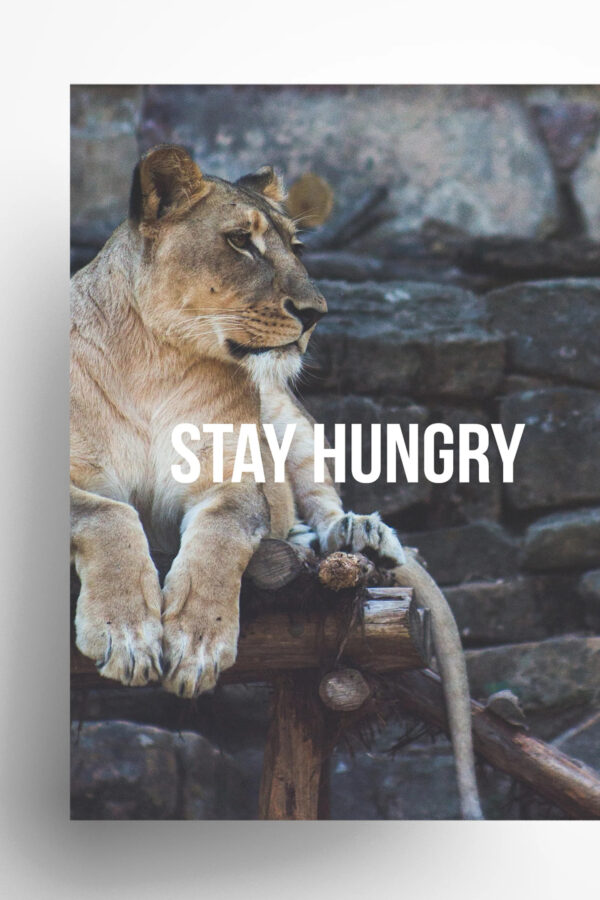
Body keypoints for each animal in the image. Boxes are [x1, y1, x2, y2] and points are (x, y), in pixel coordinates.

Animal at [70, 144, 482, 817]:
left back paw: (353, 535)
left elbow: (221, 537)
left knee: (321, 503)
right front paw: (126, 636)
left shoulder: (233, 482)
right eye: (241, 242)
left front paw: (197, 643)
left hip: (288, 416)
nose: (315, 313)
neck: (156, 359)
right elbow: (107, 514)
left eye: (296, 245)